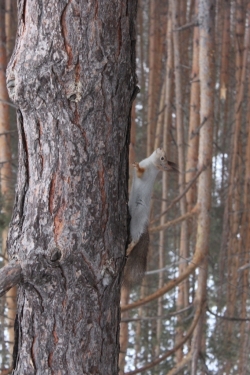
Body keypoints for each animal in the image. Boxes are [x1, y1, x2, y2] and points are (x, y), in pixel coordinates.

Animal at [123, 149, 178, 288]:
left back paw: (130, 248)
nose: (160, 149)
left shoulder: (145, 174)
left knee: (136, 239)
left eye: (163, 158)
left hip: (136, 223)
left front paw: (136, 165)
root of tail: (145, 226)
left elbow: (140, 173)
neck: (150, 162)